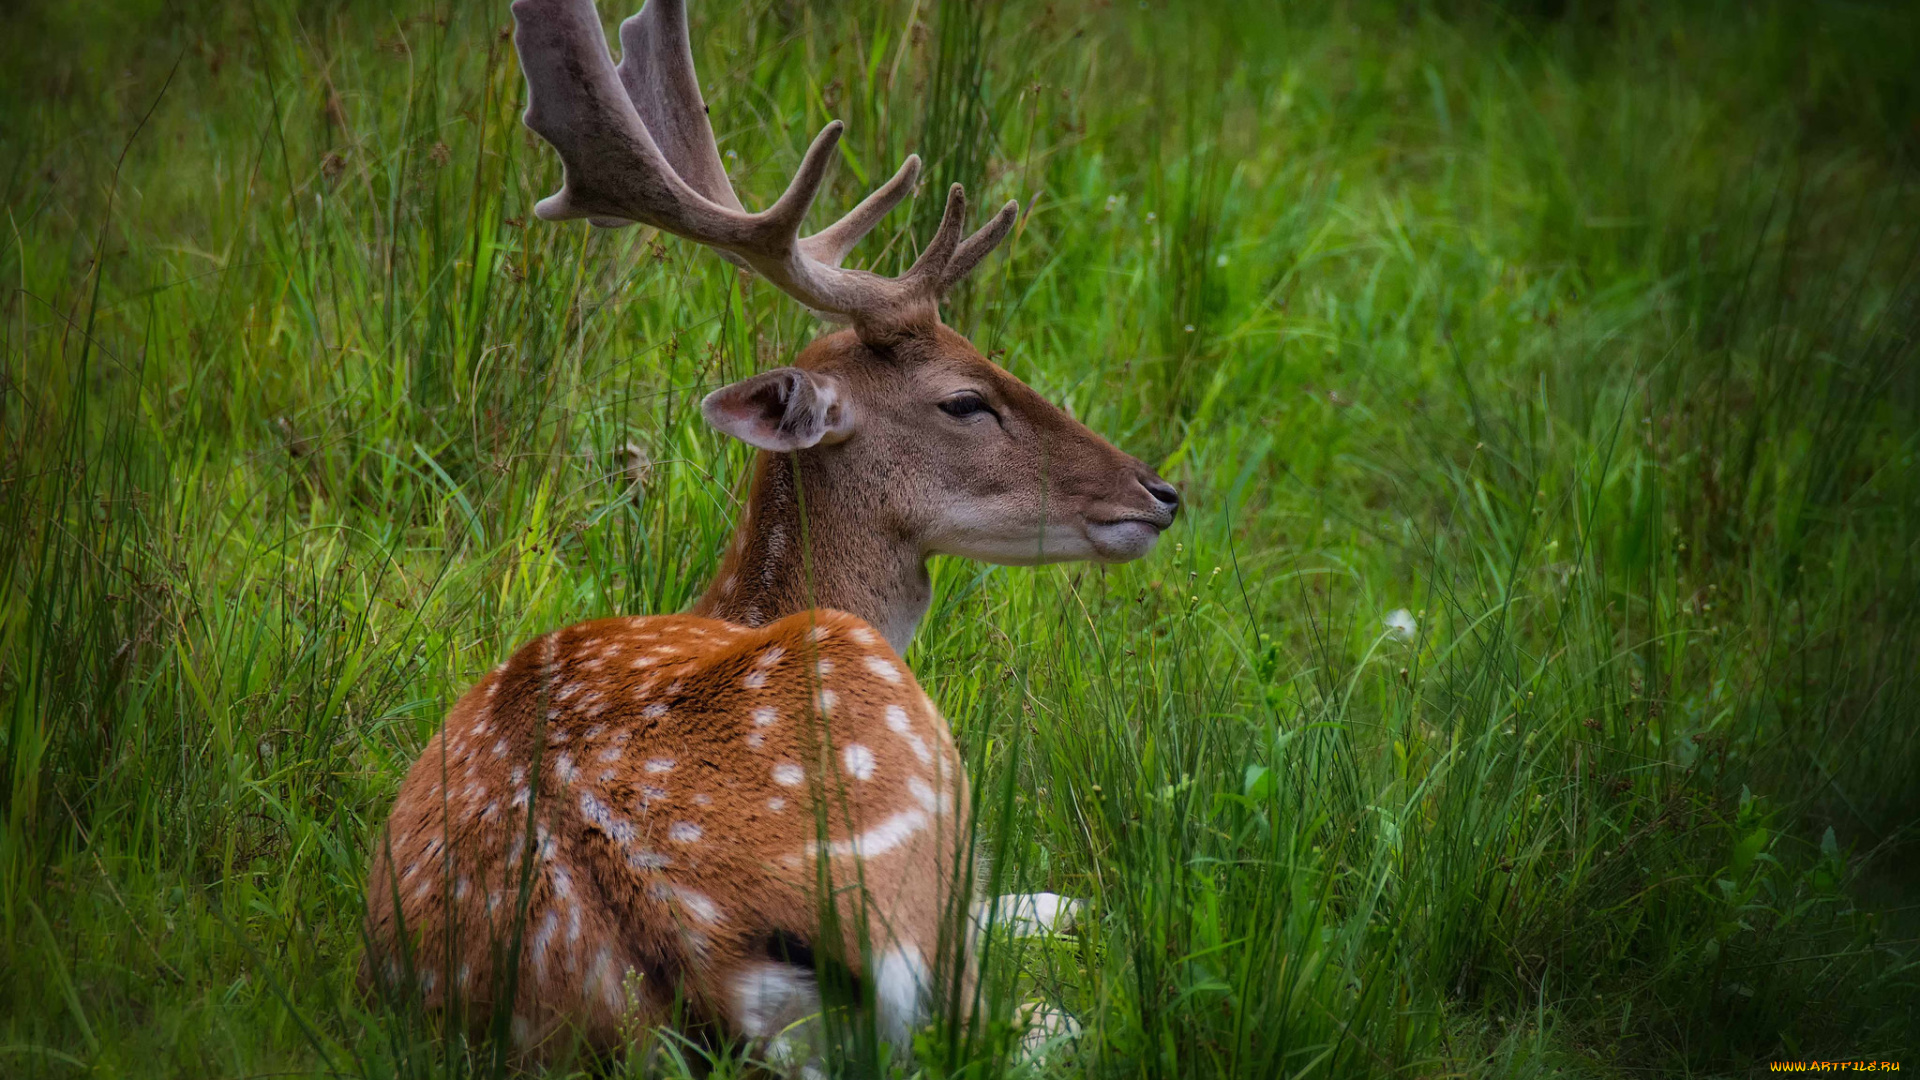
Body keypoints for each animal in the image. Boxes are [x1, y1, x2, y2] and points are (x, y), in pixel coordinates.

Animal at [353, 0, 1175, 1060]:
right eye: (964, 400)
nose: (1159, 493)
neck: (740, 604)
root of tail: (682, 947)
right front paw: (1074, 903)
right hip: (897, 764)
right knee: (1004, 1019)